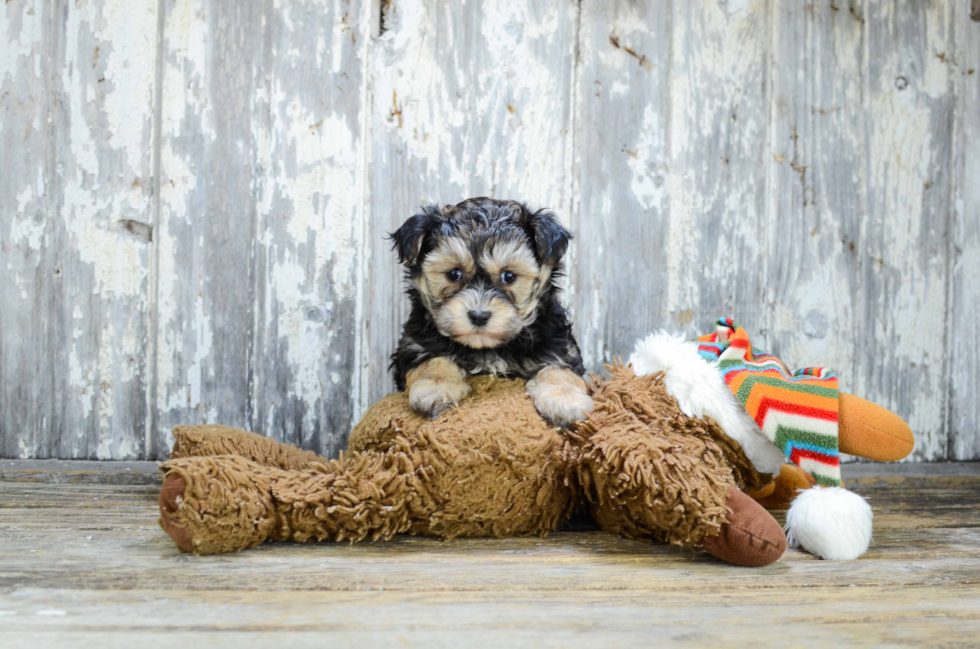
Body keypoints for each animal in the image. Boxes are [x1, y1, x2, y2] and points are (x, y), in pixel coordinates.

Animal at [388, 196, 588, 426]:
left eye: (509, 276)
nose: (478, 315)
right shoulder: (414, 344)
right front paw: (435, 389)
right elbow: (432, 361)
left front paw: (566, 400)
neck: (487, 349)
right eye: (454, 274)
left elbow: (561, 370)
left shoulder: (557, 344)